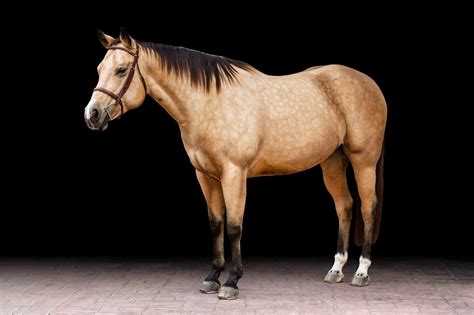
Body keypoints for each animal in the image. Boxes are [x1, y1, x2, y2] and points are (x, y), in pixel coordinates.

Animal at [84, 28, 386, 300]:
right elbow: (216, 223)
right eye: (99, 68)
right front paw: (212, 277)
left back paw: (361, 272)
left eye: (121, 70)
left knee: (367, 206)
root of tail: (369, 82)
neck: (210, 102)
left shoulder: (234, 174)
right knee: (344, 206)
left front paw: (232, 282)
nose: (92, 115)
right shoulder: (206, 176)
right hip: (332, 162)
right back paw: (336, 269)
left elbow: (234, 226)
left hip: (363, 161)